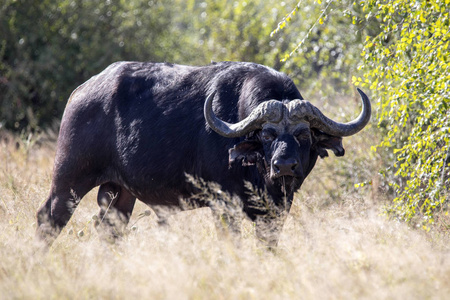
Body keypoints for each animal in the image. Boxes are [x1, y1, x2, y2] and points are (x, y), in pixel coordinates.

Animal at [37, 61, 370, 246]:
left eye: (303, 134)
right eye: (267, 134)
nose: (284, 165)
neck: (257, 172)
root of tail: (80, 93)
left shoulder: (277, 212)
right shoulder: (223, 207)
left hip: (119, 192)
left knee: (108, 229)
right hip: (68, 180)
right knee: (48, 219)